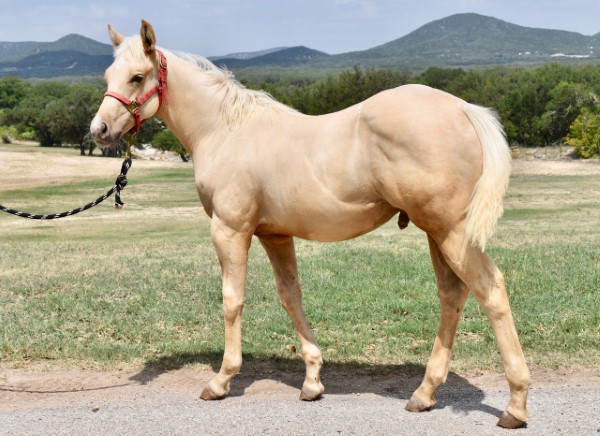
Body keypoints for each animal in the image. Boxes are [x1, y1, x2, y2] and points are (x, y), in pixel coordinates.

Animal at [90, 20, 528, 430]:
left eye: (137, 77)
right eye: (108, 76)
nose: (99, 131)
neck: (226, 130)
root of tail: (463, 109)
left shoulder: (230, 231)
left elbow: (232, 300)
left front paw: (221, 380)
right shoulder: (275, 235)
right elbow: (291, 297)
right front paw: (313, 381)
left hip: (452, 234)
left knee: (491, 290)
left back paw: (515, 404)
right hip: (437, 234)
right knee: (452, 295)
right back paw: (425, 393)